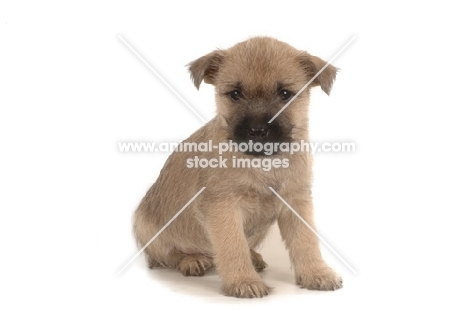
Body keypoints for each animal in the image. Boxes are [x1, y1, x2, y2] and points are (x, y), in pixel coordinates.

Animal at [133, 36, 342, 298]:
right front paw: (243, 280)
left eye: (285, 94)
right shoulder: (223, 206)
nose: (258, 130)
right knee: (165, 255)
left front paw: (317, 273)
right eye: (235, 94)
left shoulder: (296, 201)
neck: (263, 163)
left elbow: (306, 241)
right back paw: (192, 259)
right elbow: (233, 245)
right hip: (144, 225)